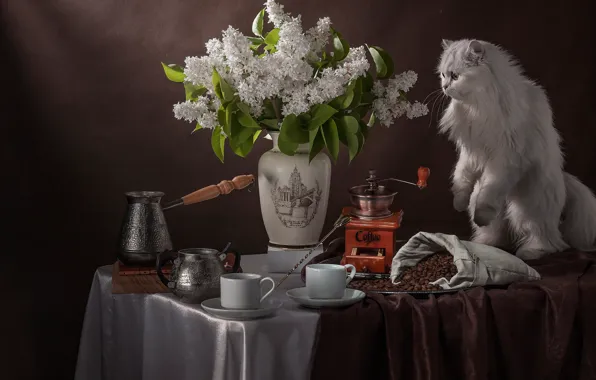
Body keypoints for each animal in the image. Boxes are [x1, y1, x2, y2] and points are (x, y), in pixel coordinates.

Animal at [438, 37, 596, 258]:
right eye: (443, 75)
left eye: (455, 76)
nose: (444, 86)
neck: (477, 107)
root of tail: (563, 179)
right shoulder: (470, 153)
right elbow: (462, 178)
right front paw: (459, 204)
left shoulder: (506, 158)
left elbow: (489, 192)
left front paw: (479, 213)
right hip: (500, 211)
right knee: (496, 229)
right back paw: (487, 244)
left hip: (530, 207)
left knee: (548, 238)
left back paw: (531, 251)